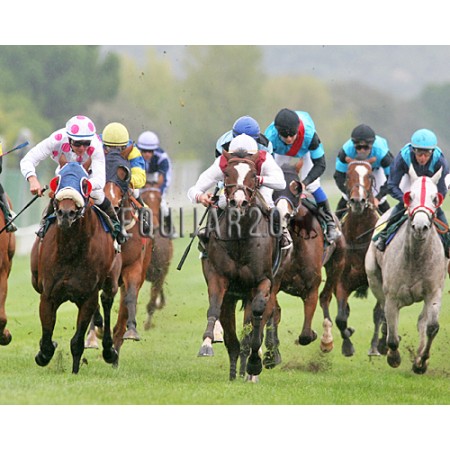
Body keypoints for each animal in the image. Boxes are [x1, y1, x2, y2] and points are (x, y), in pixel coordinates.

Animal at [30, 161, 122, 374]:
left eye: (84, 184)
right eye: (58, 181)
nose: (66, 213)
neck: (70, 250)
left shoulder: (88, 296)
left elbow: (77, 342)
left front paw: (74, 371)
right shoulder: (48, 294)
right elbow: (46, 340)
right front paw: (44, 352)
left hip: (111, 280)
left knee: (106, 301)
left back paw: (109, 350)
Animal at [85, 150, 152, 358]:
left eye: (125, 174)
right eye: (93, 170)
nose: (112, 204)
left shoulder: (134, 267)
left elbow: (129, 297)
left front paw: (130, 330)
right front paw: (95, 332)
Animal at [199, 150, 280, 381]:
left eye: (253, 174)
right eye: (227, 173)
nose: (239, 201)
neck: (241, 237)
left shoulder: (263, 281)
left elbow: (257, 318)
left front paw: (254, 364)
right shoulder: (219, 278)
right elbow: (214, 307)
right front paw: (206, 344)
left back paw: (249, 369)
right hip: (233, 297)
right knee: (233, 341)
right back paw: (236, 373)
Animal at [334, 158, 383, 357]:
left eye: (369, 175)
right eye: (348, 175)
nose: (357, 201)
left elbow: (378, 313)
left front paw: (375, 346)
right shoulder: (341, 282)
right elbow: (341, 316)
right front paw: (347, 344)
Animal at [365, 167, 447, 374]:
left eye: (435, 198)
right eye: (410, 197)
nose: (420, 227)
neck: (416, 258)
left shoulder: (434, 291)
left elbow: (431, 327)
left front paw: (421, 361)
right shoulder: (392, 295)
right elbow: (393, 334)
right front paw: (393, 357)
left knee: (421, 321)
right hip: (374, 278)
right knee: (385, 315)